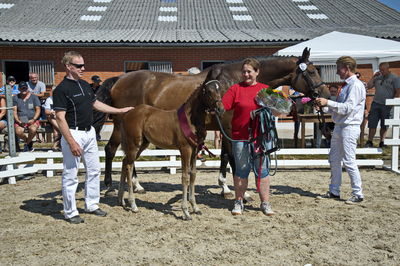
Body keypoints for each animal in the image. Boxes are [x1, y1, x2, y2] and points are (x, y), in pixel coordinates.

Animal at [94, 47, 328, 195]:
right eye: (313, 71)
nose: (324, 95)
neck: (234, 81)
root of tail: (120, 79)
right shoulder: (228, 126)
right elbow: (232, 157)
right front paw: (234, 190)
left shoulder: (225, 128)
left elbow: (224, 155)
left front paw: (224, 186)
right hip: (123, 126)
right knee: (113, 151)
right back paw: (112, 186)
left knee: (122, 153)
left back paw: (134, 185)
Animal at [119, 79, 225, 220]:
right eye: (208, 91)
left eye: (220, 90)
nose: (221, 109)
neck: (190, 120)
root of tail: (127, 113)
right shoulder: (185, 150)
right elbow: (185, 177)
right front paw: (185, 212)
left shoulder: (195, 151)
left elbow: (193, 175)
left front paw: (195, 208)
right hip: (134, 145)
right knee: (129, 166)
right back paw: (133, 205)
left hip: (142, 145)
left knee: (124, 162)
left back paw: (121, 200)